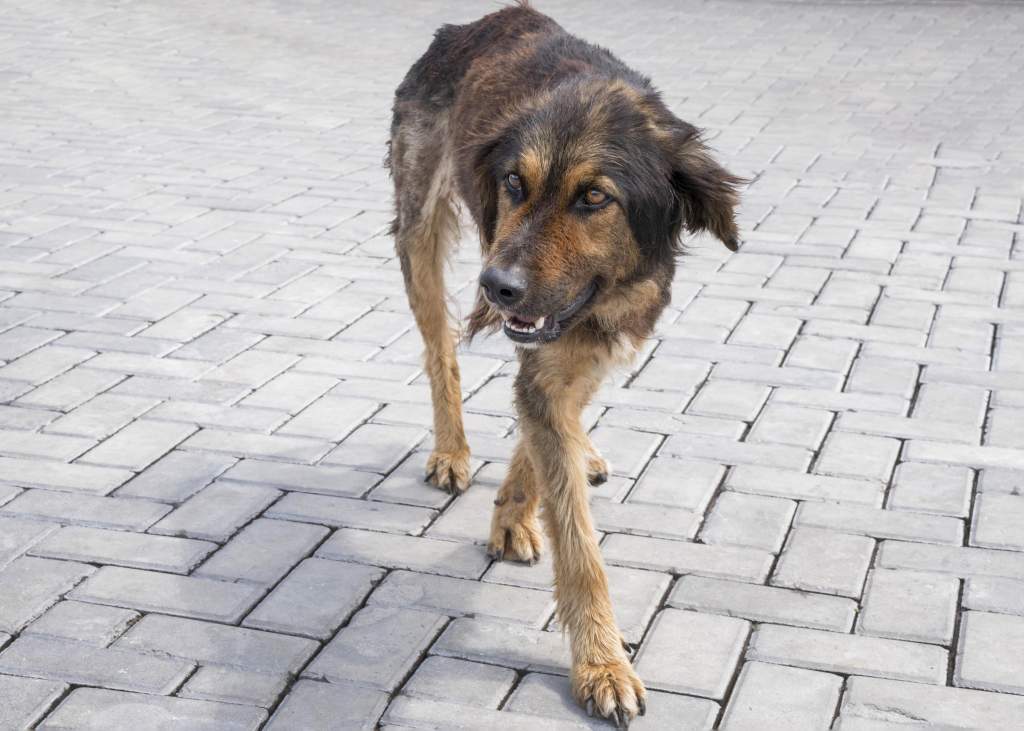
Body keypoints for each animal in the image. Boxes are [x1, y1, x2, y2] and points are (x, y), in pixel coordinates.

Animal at [388, 3, 741, 726]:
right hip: (421, 229)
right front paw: (602, 665)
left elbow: (544, 437)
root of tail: (473, 24)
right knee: (440, 350)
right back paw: (451, 450)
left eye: (594, 198)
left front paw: (515, 511)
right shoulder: (544, 353)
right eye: (513, 183)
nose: (498, 287)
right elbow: (579, 544)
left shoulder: (591, 344)